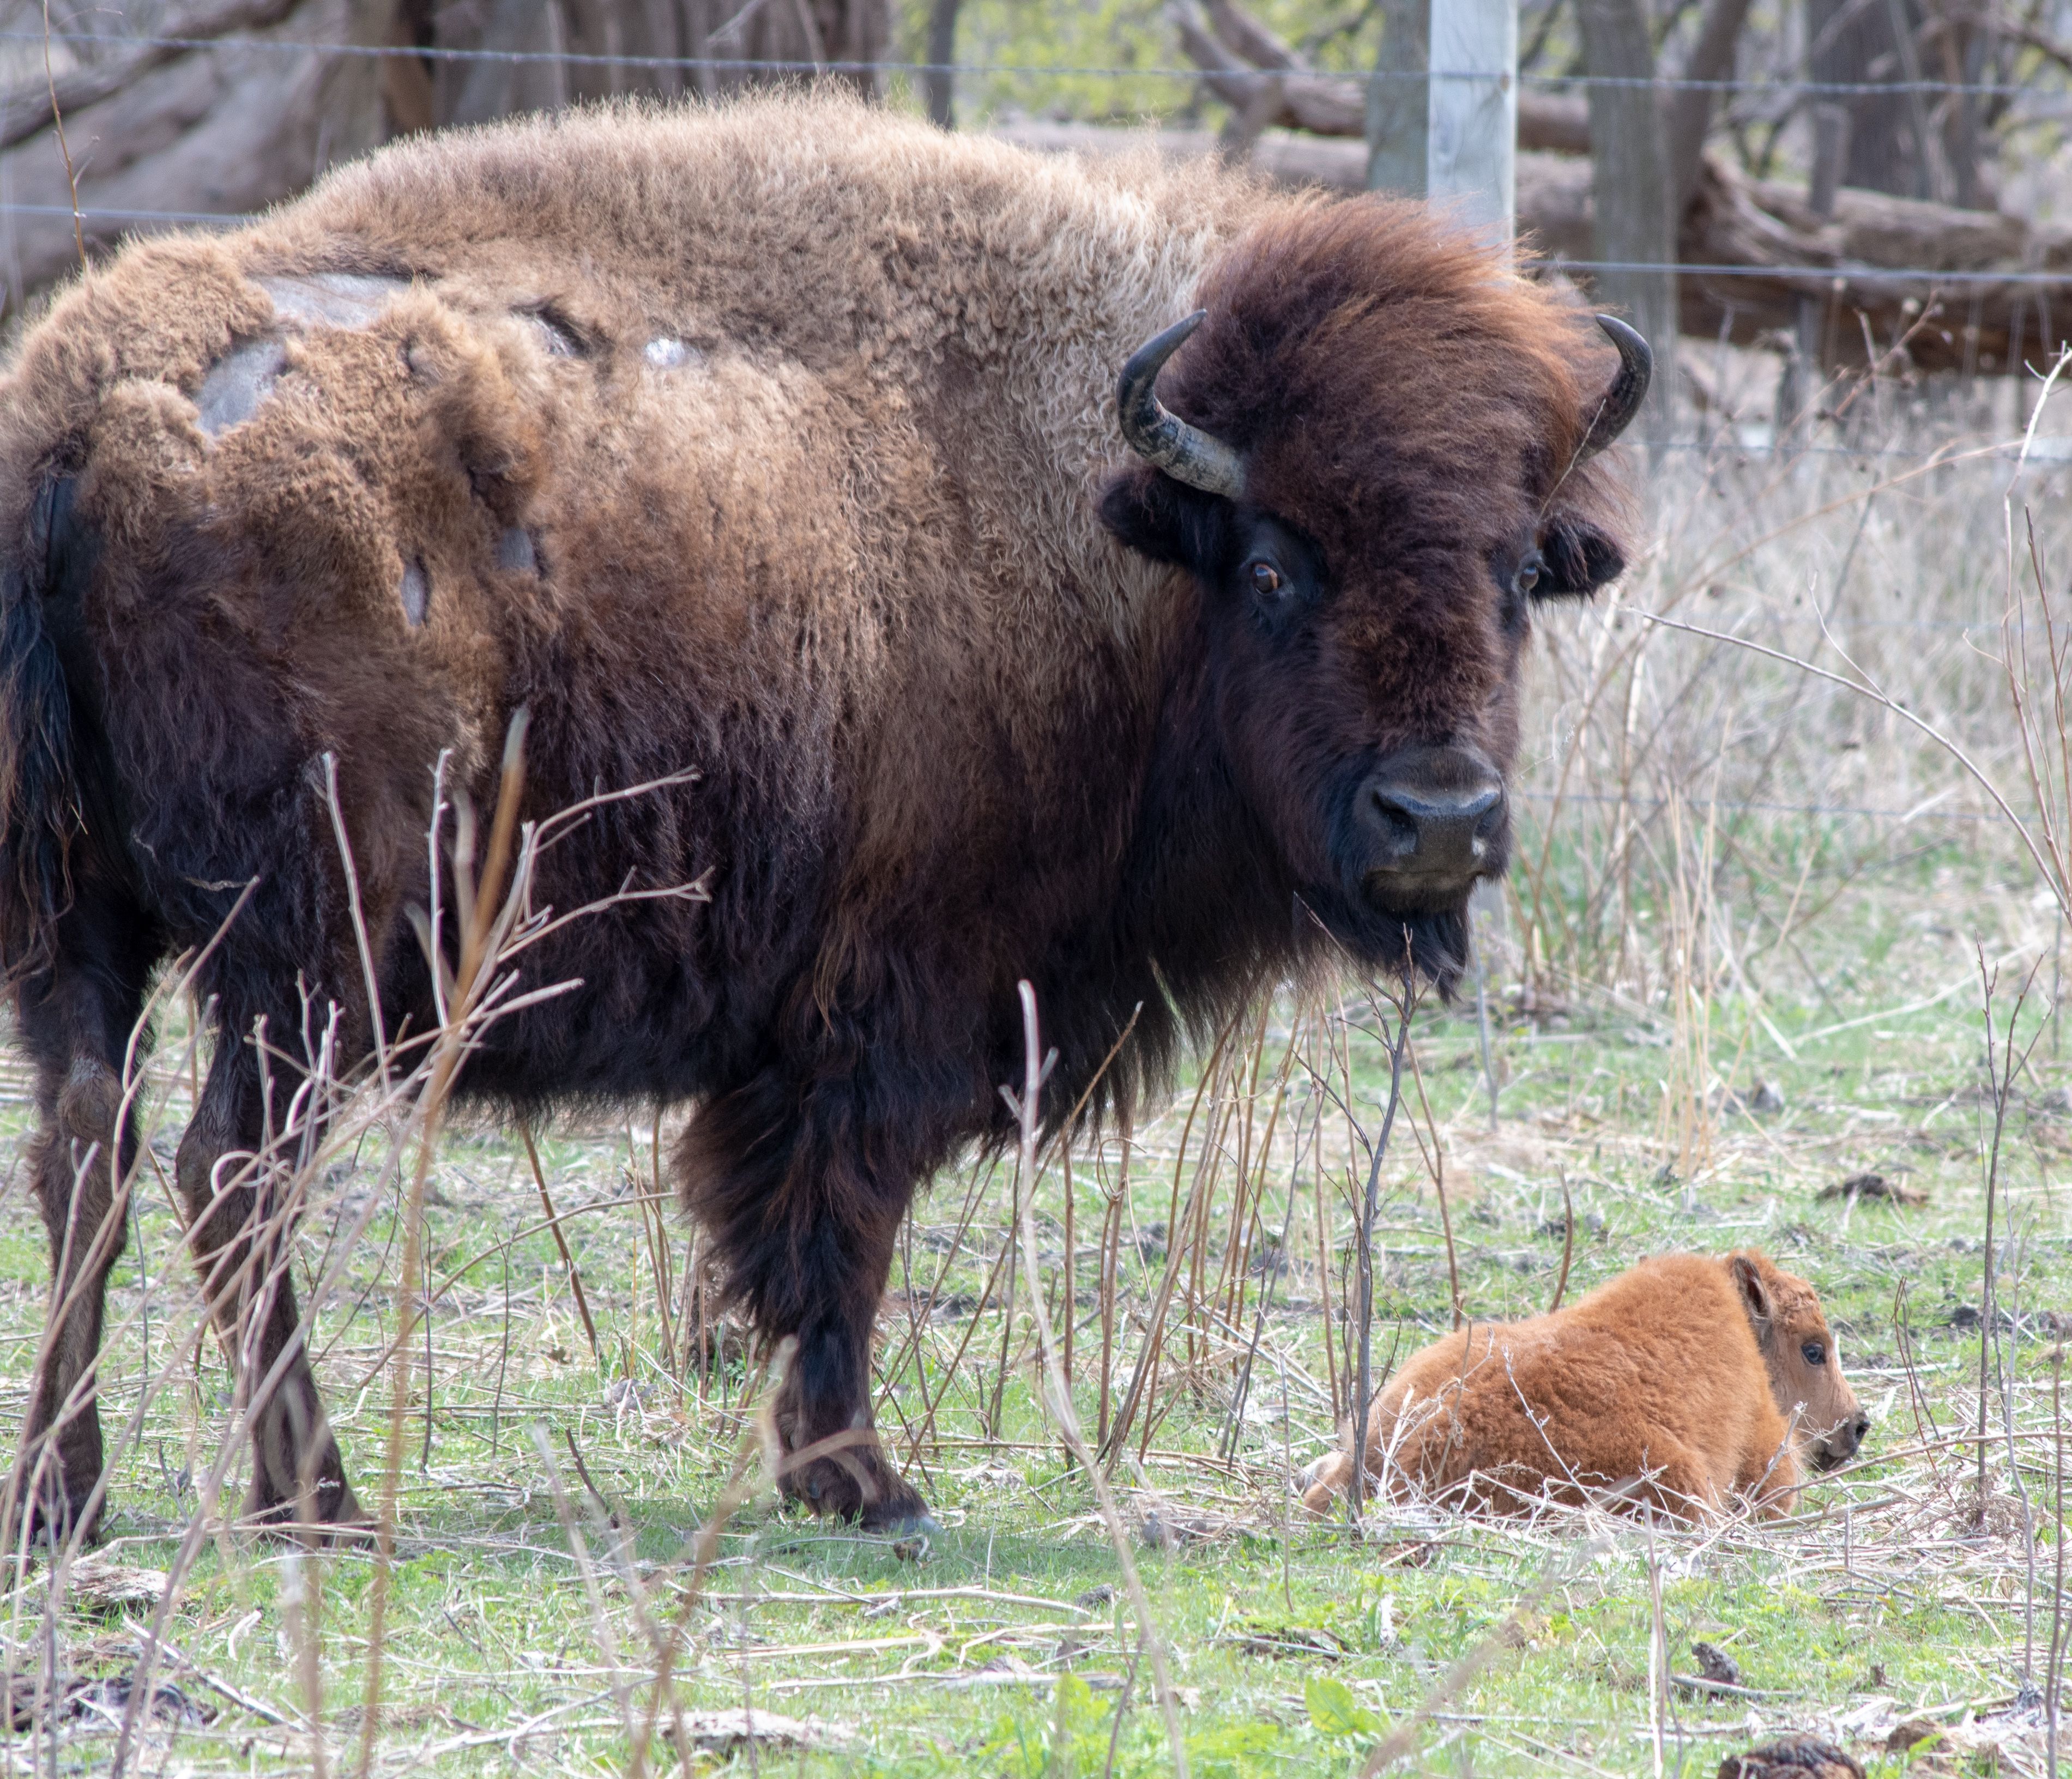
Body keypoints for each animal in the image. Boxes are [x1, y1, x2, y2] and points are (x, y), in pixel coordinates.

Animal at [4, 90, 1649, 1541]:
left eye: (1517, 571)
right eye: (1275, 567)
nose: (1440, 819)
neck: (1108, 526)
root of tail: (84, 419)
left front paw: (837, 1469)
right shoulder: (893, 999)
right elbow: (835, 1229)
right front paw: (863, 1480)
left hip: (81, 925)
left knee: (86, 1151)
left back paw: (66, 1500)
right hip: (314, 950)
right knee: (226, 1169)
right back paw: (321, 1501)